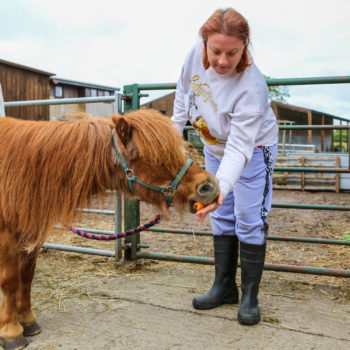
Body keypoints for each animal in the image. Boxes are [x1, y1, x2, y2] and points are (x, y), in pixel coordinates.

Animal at [0, 108, 219, 348]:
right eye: (153, 158)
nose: (209, 186)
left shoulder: (32, 234)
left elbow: (27, 276)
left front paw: (28, 322)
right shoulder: (8, 237)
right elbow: (10, 281)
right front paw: (11, 332)